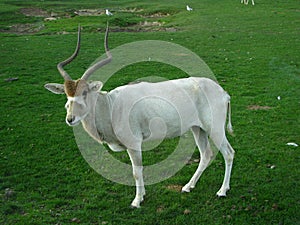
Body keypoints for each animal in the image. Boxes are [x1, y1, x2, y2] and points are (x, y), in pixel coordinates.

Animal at [45, 25, 234, 207]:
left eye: (84, 92)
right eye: (66, 94)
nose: (70, 118)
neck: (111, 106)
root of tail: (223, 93)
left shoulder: (134, 144)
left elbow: (136, 171)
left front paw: (137, 200)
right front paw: (141, 195)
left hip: (215, 129)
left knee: (228, 153)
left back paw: (222, 191)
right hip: (197, 128)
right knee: (206, 154)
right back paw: (188, 186)